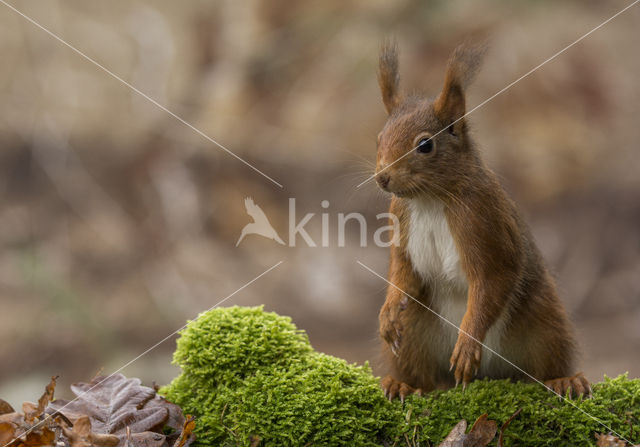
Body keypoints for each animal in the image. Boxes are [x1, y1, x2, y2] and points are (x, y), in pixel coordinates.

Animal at [376, 40, 592, 400]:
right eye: (379, 137)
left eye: (425, 144)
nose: (382, 178)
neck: (430, 200)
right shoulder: (400, 218)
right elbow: (402, 270)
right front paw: (389, 313)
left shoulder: (483, 221)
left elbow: (492, 280)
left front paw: (467, 344)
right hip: (417, 333)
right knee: (425, 376)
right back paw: (403, 384)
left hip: (544, 322)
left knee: (545, 362)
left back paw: (563, 380)